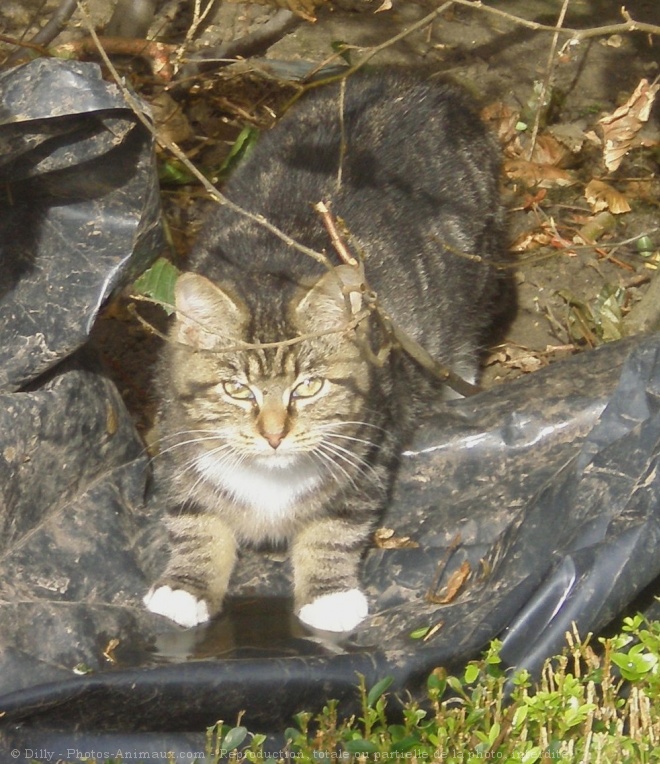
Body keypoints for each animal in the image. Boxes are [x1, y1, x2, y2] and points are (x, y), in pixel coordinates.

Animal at [143, 70, 506, 632]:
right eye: (235, 389)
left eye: (309, 386)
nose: (273, 435)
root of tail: (429, 86)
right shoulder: (178, 441)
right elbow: (193, 516)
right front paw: (186, 585)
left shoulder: (371, 446)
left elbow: (335, 523)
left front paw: (328, 595)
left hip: (471, 285)